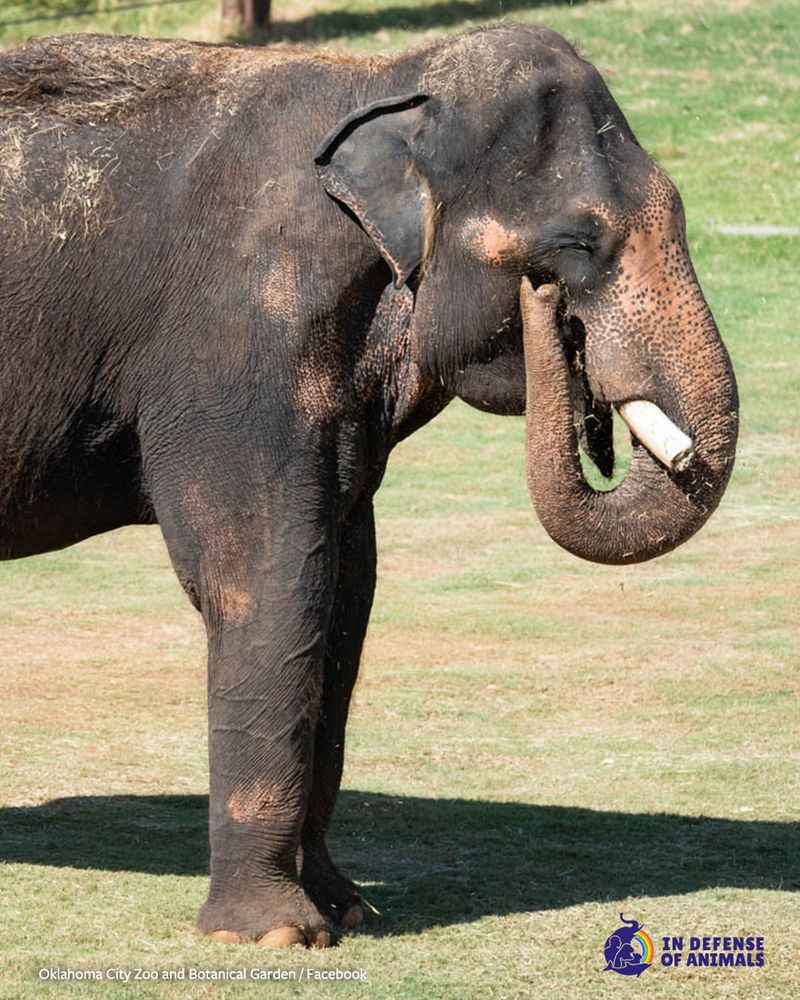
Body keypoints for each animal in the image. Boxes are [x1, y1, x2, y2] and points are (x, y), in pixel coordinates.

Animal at [0, 23, 736, 944]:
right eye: (577, 244)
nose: (549, 316)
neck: (387, 80)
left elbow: (347, 587)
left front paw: (344, 908)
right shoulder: (240, 341)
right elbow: (265, 577)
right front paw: (274, 934)